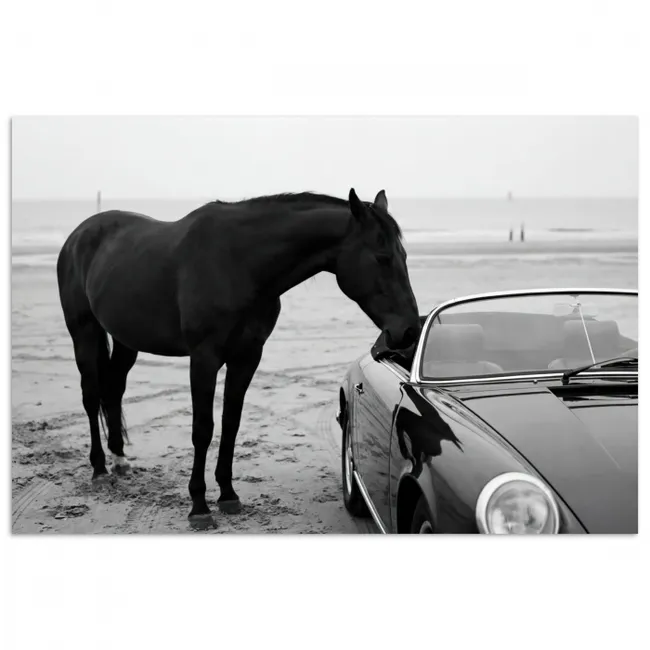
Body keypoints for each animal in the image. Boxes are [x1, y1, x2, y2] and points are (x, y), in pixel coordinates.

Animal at [56, 188, 421, 527]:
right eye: (382, 257)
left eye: (404, 255)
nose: (409, 331)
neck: (239, 263)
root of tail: (78, 235)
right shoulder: (203, 358)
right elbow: (203, 428)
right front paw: (199, 507)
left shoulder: (247, 357)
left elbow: (231, 422)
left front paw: (228, 495)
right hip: (84, 332)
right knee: (91, 395)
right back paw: (99, 469)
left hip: (125, 339)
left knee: (113, 389)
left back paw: (119, 459)